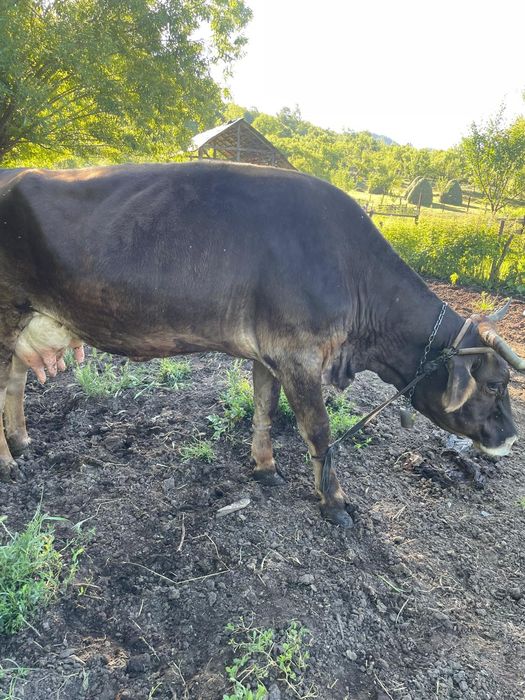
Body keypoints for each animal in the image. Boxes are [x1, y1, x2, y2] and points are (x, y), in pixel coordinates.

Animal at [0, 162, 523, 527]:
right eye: (494, 384)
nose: (511, 437)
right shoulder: (299, 355)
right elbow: (319, 430)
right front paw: (334, 502)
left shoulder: (270, 356)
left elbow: (264, 409)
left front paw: (265, 467)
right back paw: (8, 463)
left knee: (15, 379)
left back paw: (22, 441)